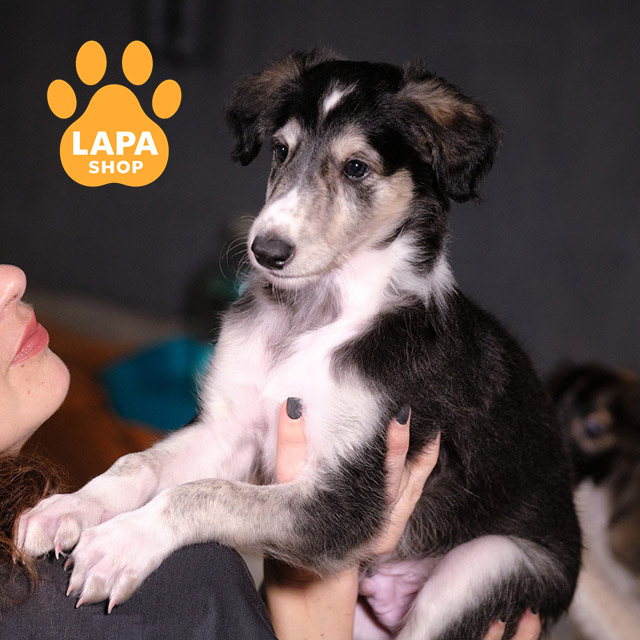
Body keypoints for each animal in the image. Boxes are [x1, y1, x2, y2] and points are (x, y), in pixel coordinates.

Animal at [18, 51, 581, 639]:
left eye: (356, 168)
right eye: (281, 151)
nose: (265, 251)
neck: (313, 315)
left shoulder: (350, 499)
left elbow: (203, 494)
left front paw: (120, 546)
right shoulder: (233, 431)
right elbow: (140, 465)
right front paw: (69, 508)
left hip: (489, 564)